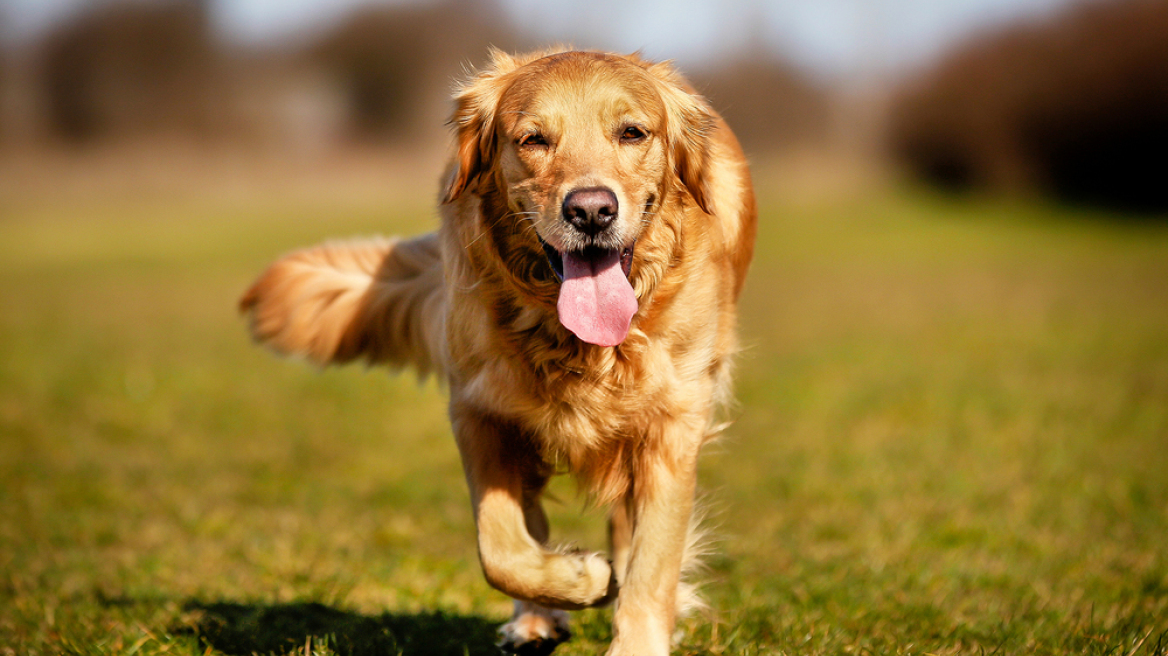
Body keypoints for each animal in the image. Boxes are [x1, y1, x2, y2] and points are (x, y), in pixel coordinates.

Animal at [241, 48, 761, 648]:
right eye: (533, 139)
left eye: (633, 132)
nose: (590, 211)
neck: (577, 340)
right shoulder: (480, 411)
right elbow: (501, 549)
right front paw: (578, 577)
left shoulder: (671, 425)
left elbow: (651, 564)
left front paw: (636, 638)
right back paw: (536, 616)